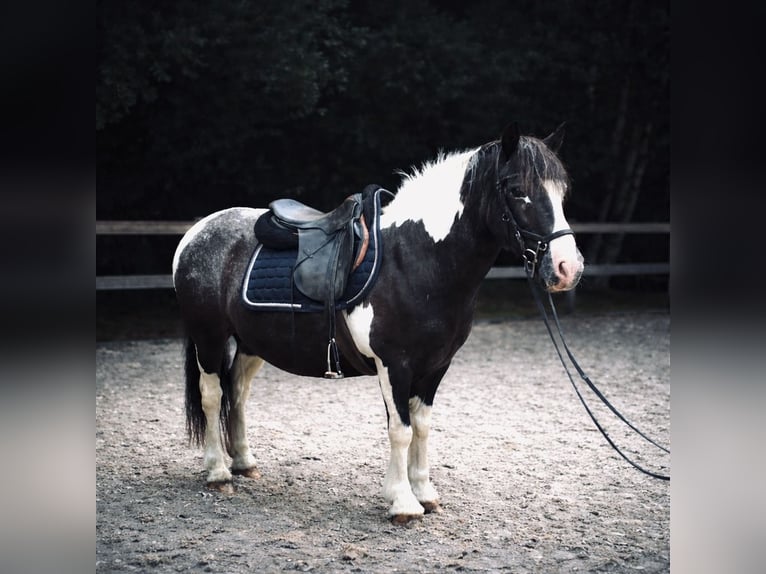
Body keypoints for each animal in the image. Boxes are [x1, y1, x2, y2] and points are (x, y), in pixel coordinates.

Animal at [172, 122, 584, 523]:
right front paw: (403, 503)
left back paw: (244, 462)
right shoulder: (394, 364)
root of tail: (197, 232)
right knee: (213, 396)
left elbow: (421, 426)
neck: (419, 258)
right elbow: (400, 430)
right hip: (210, 338)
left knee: (238, 393)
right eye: (517, 190)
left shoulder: (435, 367)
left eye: (562, 191)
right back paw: (218, 472)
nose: (568, 267)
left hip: (250, 344)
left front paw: (425, 493)